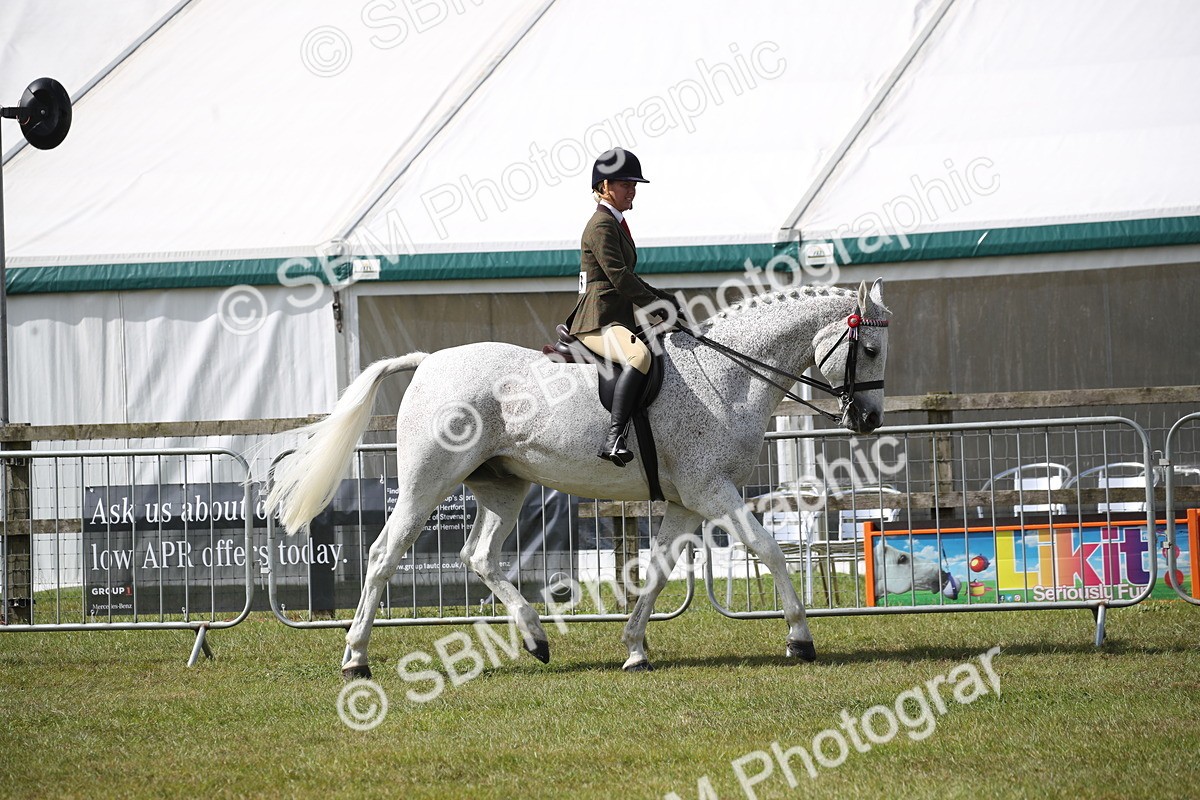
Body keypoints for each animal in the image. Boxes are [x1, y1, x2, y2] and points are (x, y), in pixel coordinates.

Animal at [266, 279, 891, 676]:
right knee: (383, 554)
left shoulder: (687, 501)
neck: (725, 374)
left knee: (480, 555)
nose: (868, 420)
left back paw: (535, 637)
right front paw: (800, 639)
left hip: (503, 486)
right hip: (427, 482)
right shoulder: (714, 492)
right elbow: (769, 550)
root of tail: (428, 362)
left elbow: (658, 571)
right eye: (870, 348)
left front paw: (635, 648)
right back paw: (356, 658)